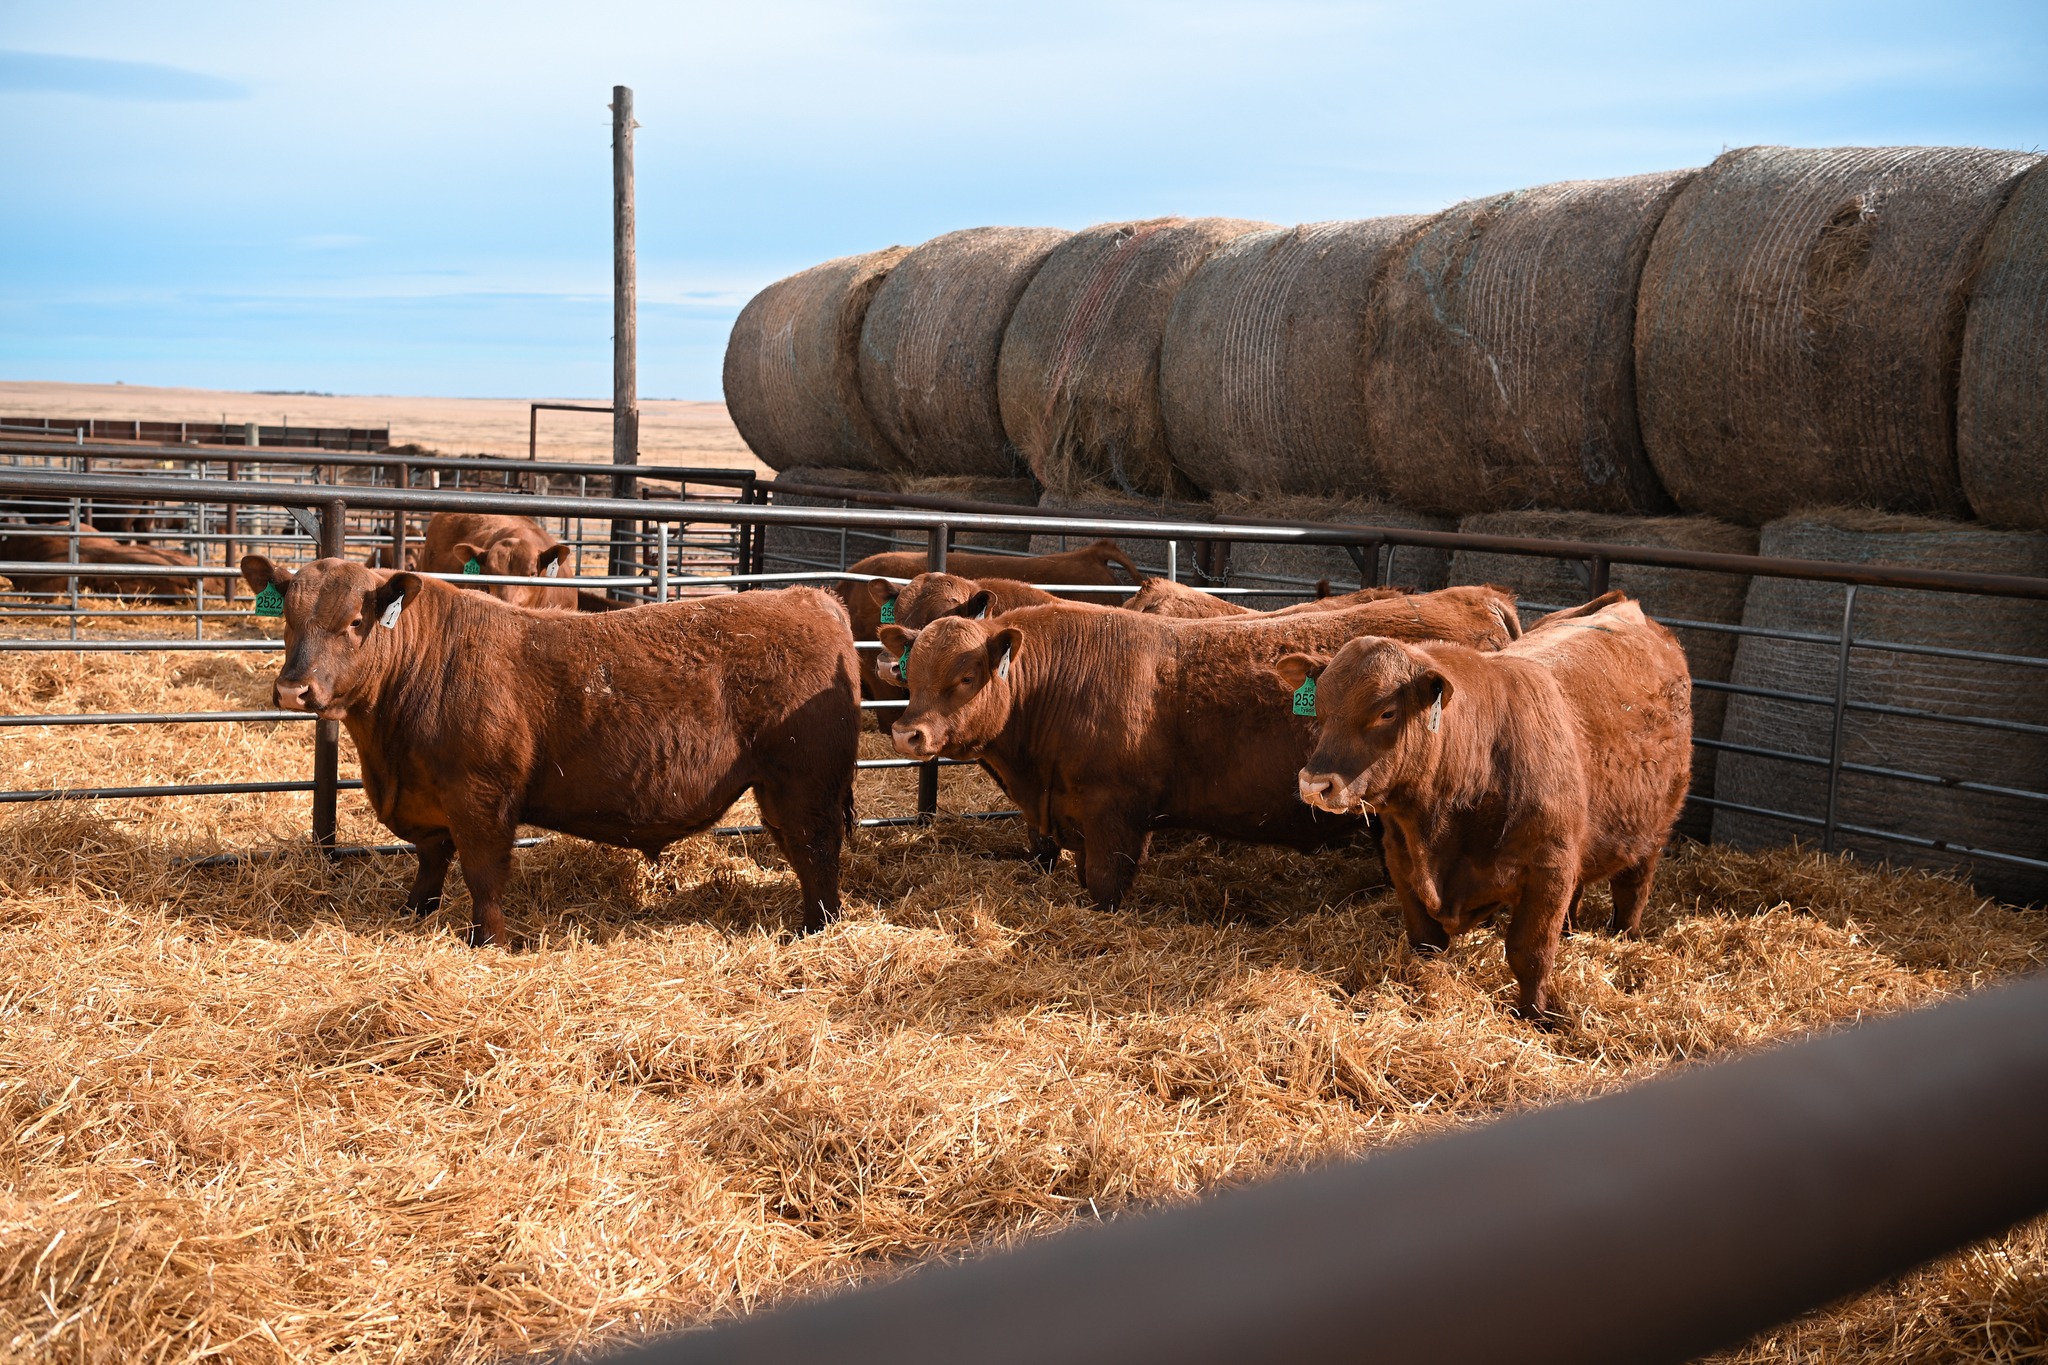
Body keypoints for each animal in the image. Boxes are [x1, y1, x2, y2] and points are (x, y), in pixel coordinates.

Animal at [239, 554, 860, 947]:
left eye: (353, 622)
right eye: (287, 620)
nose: (293, 690)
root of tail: (813, 598)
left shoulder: (482, 796)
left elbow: (484, 873)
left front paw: (487, 942)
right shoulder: (428, 802)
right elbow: (431, 859)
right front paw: (415, 912)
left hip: (804, 783)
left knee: (816, 850)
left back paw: (817, 930)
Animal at [877, 586, 1521, 909]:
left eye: (965, 676)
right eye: (913, 673)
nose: (909, 733)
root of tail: (1480, 597)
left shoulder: (1114, 816)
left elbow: (1105, 888)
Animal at [1282, 591, 1692, 1020]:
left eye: (1386, 712)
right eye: (1320, 710)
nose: (1314, 784)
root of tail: (1623, 603)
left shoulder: (1549, 869)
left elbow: (1531, 954)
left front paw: (1535, 1018)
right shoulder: (1401, 860)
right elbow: (1425, 944)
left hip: (1652, 832)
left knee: (1632, 891)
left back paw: (1624, 937)